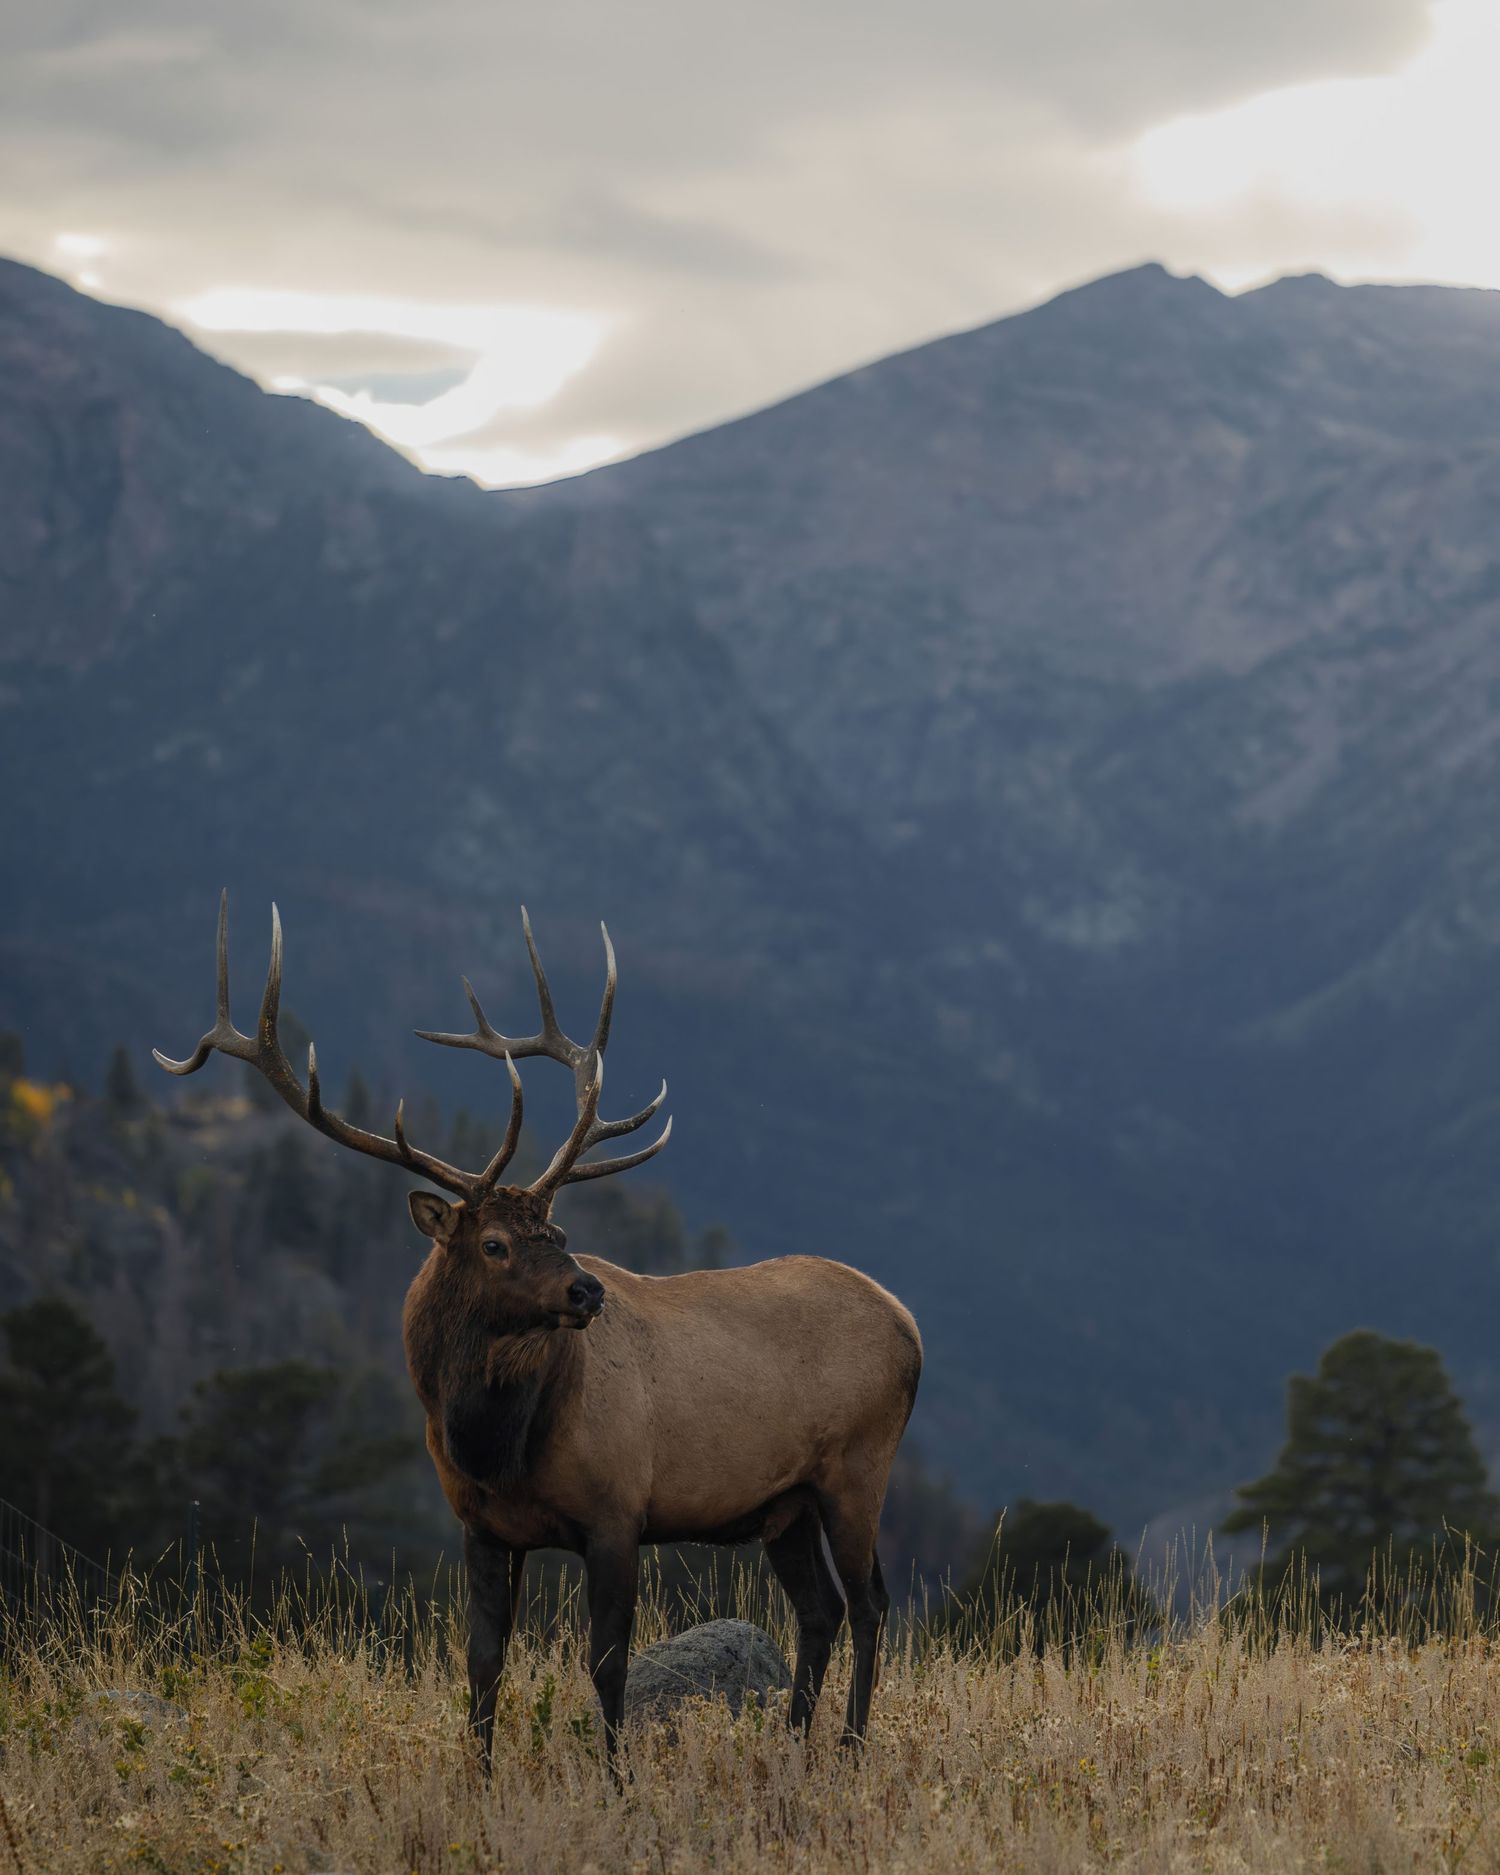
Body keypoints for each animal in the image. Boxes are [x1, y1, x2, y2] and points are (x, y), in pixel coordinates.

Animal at [155, 892, 922, 1771]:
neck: (497, 1444)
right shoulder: (483, 1526)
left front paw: (617, 1777)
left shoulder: (619, 1511)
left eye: (556, 1230)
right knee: (819, 1609)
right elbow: (483, 1658)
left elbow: (606, 1660)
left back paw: (850, 1748)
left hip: (857, 1466)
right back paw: (794, 1745)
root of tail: (911, 1326)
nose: (587, 1289)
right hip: (784, 1502)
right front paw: (479, 1775)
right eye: (494, 1242)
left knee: (869, 1603)